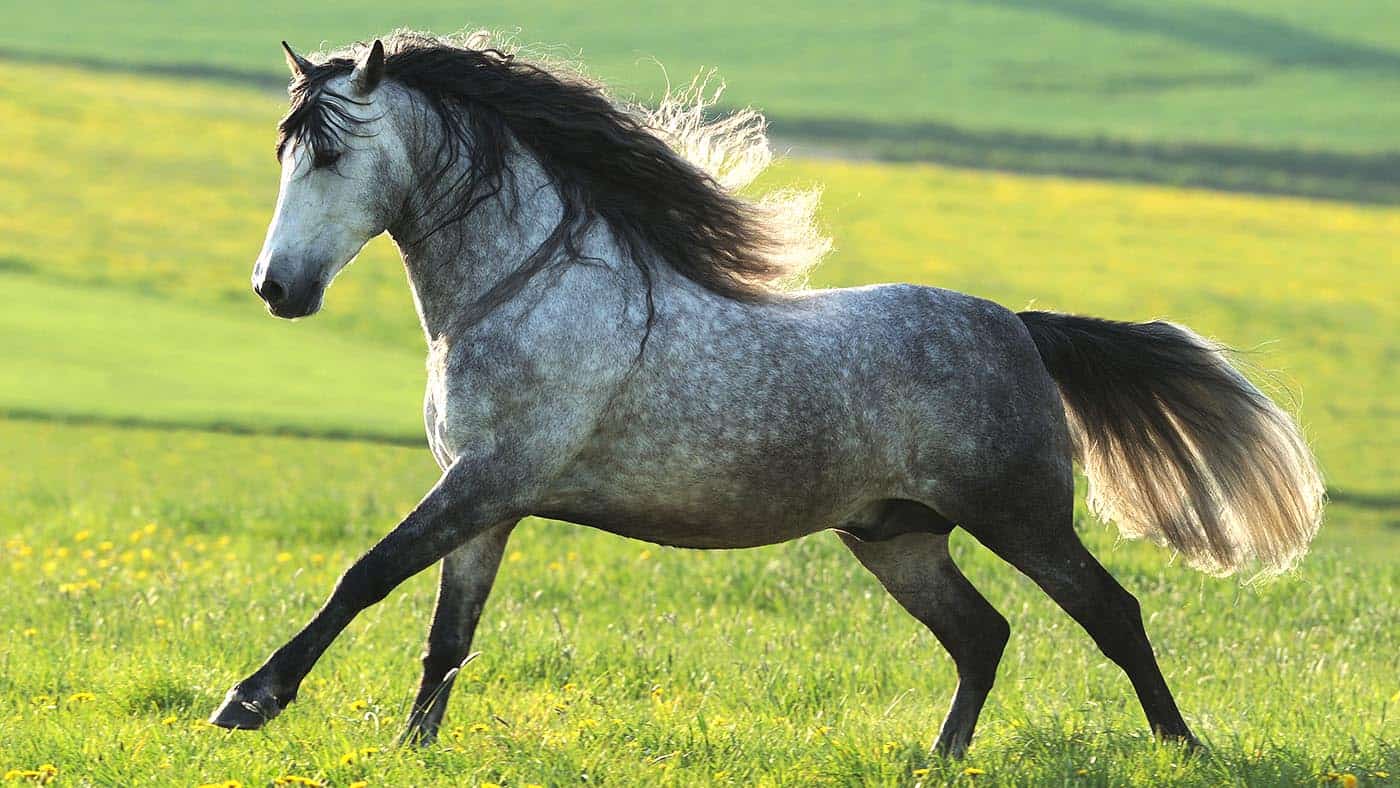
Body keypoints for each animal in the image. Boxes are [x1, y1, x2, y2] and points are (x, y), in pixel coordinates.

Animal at [209, 32, 1324, 756]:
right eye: (284, 150)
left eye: (333, 151)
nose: (277, 289)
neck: (520, 289)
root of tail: (1016, 325)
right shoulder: (486, 501)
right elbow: (446, 636)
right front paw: (411, 747)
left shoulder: (490, 480)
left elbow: (364, 574)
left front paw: (250, 698)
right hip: (895, 537)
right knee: (983, 635)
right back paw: (939, 758)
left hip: (1018, 516)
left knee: (1111, 612)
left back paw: (1181, 746)